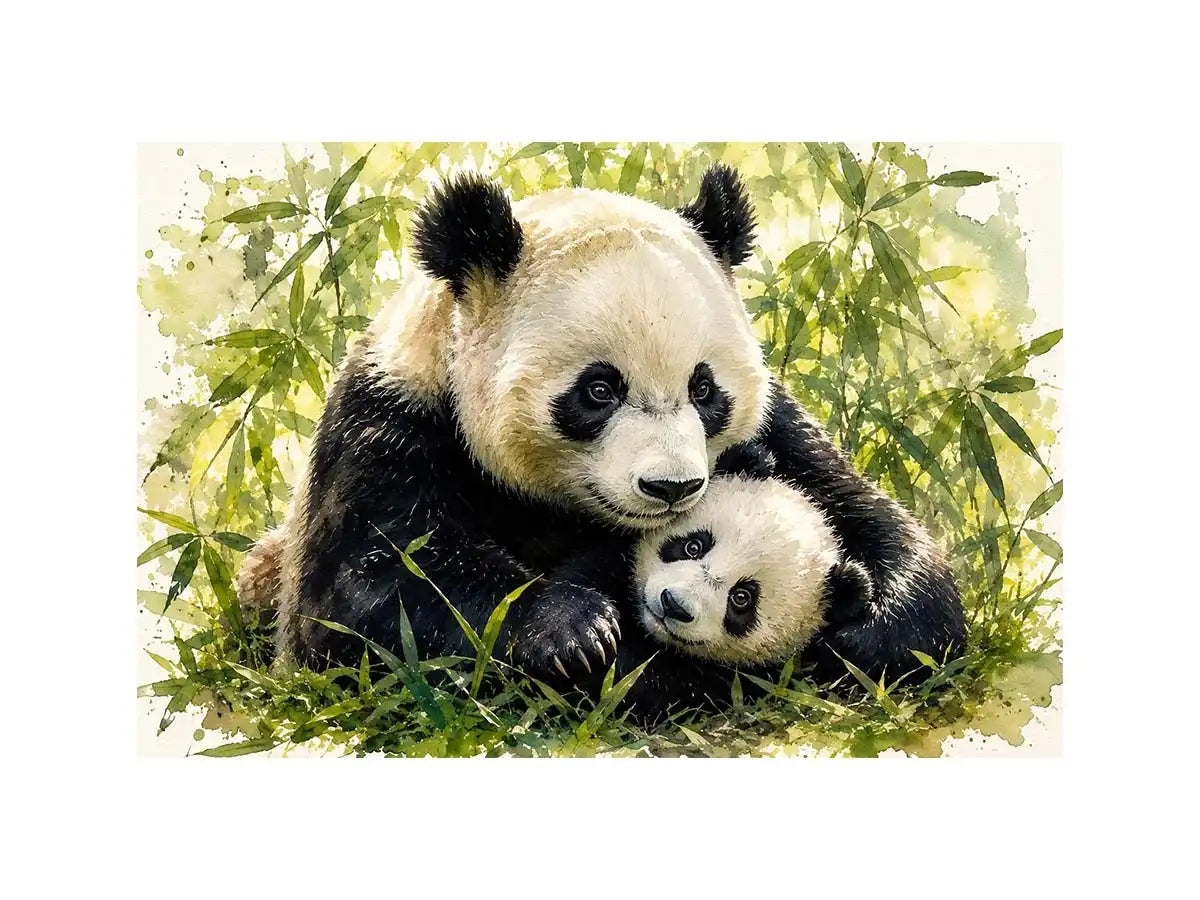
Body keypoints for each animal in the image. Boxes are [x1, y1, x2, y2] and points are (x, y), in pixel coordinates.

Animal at [243, 162, 965, 714]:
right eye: (598, 391)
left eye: (705, 389)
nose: (672, 486)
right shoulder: (389, 427)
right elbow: (370, 602)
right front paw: (573, 631)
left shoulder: (780, 428)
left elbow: (866, 513)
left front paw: (872, 633)